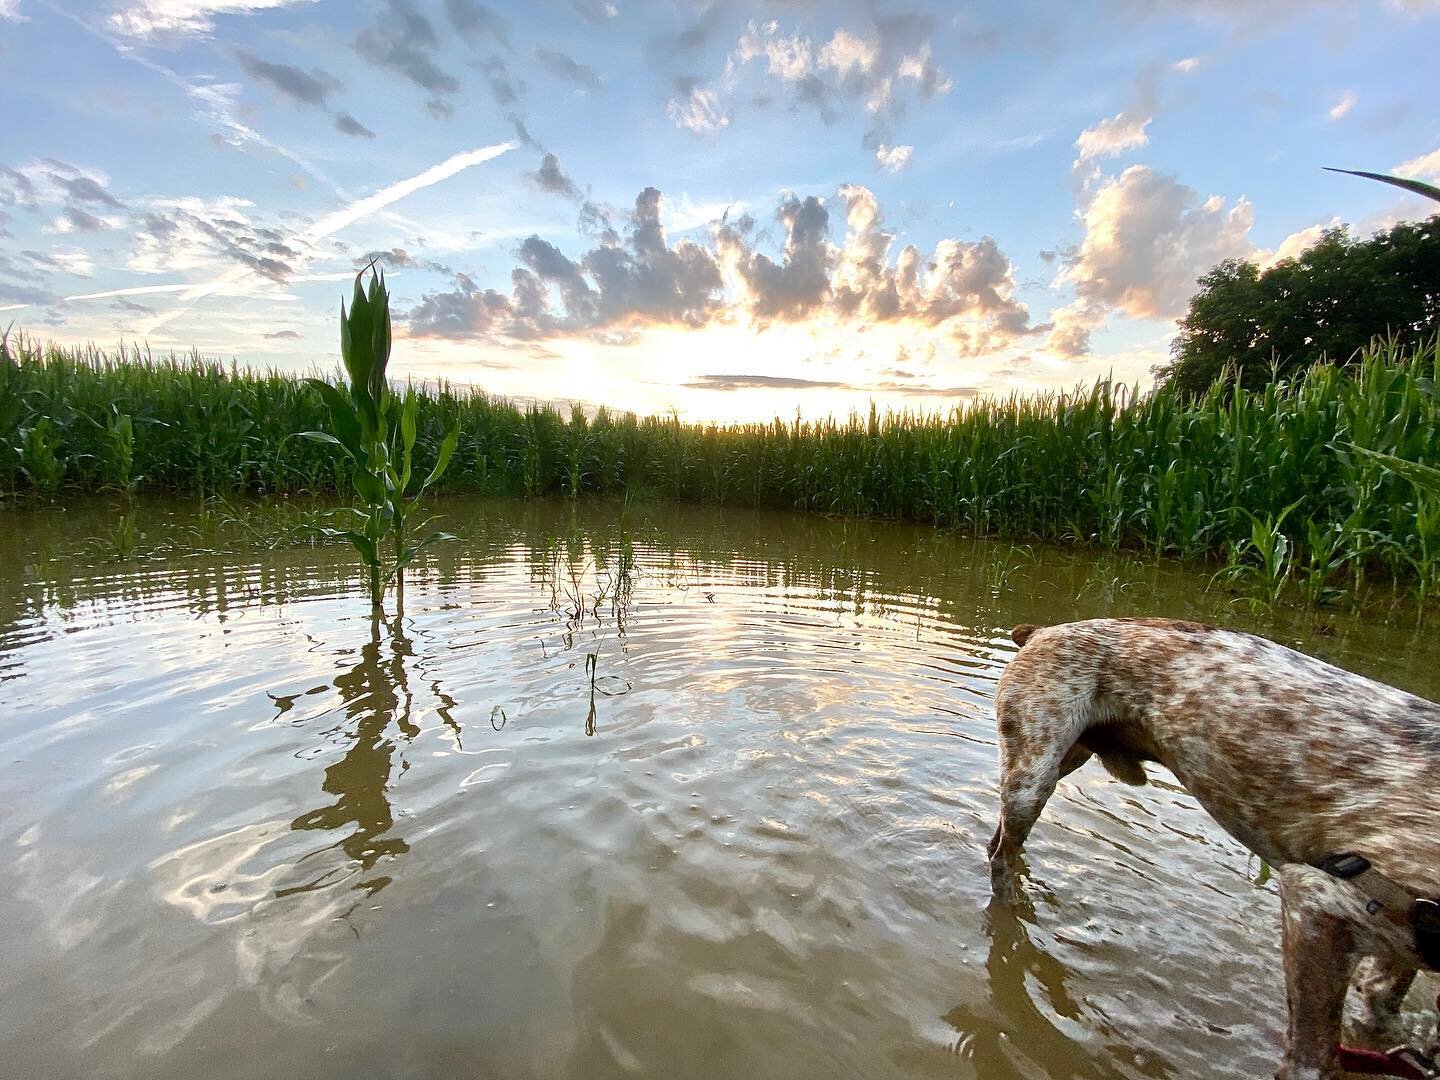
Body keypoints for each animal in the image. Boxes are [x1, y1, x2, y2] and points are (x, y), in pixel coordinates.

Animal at [990, 616, 1440, 1080]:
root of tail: (1043, 630)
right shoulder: (1316, 903)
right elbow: (1312, 1060)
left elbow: (1381, 1002)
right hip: (1033, 776)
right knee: (1000, 857)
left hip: (1065, 760)